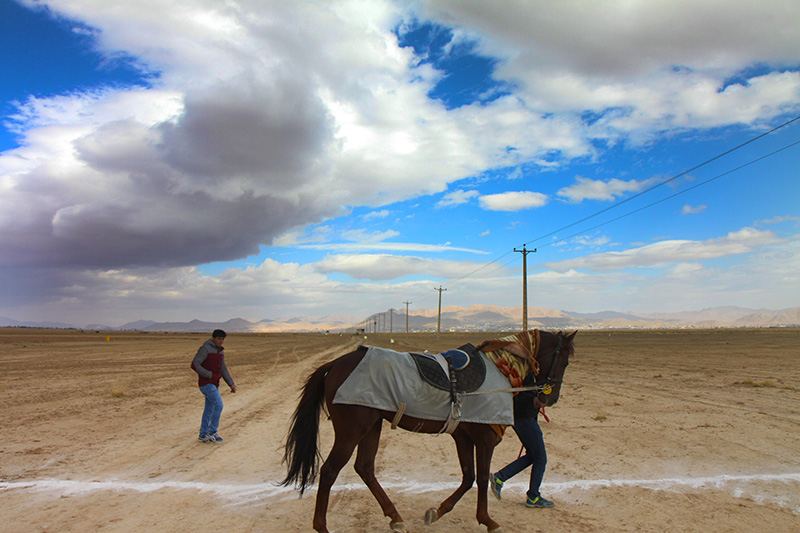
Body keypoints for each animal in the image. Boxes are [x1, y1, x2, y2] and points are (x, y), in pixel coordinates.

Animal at [282, 328, 576, 532]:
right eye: (564, 361)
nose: (550, 399)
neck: (500, 368)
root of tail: (335, 364)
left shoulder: (463, 437)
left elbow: (468, 477)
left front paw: (438, 511)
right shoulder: (485, 438)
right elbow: (481, 479)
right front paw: (487, 520)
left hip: (372, 426)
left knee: (364, 467)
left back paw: (395, 517)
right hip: (352, 430)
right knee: (330, 471)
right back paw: (322, 526)